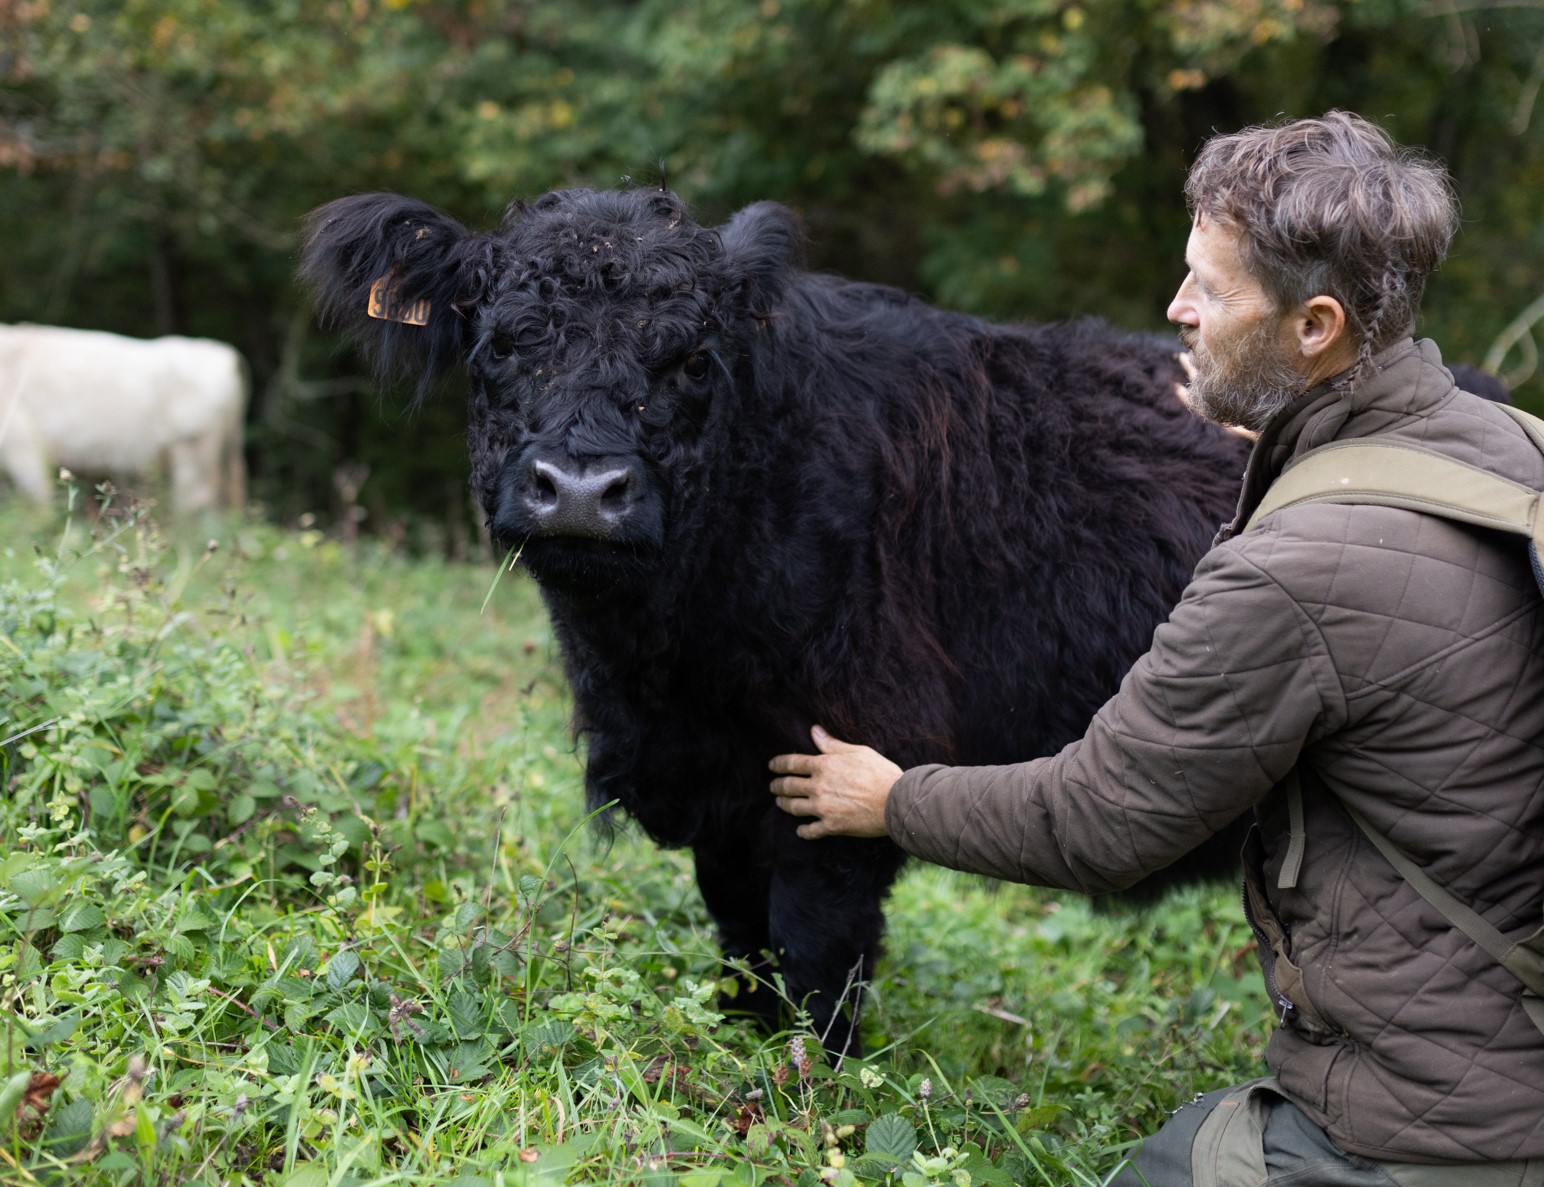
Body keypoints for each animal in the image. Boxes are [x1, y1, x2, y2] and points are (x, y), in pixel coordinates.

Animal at [301, 187, 1252, 1055]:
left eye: (692, 359)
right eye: (500, 344)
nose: (578, 489)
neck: (665, 665)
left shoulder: (845, 768)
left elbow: (815, 960)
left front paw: (810, 1085)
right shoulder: (717, 797)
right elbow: (744, 950)